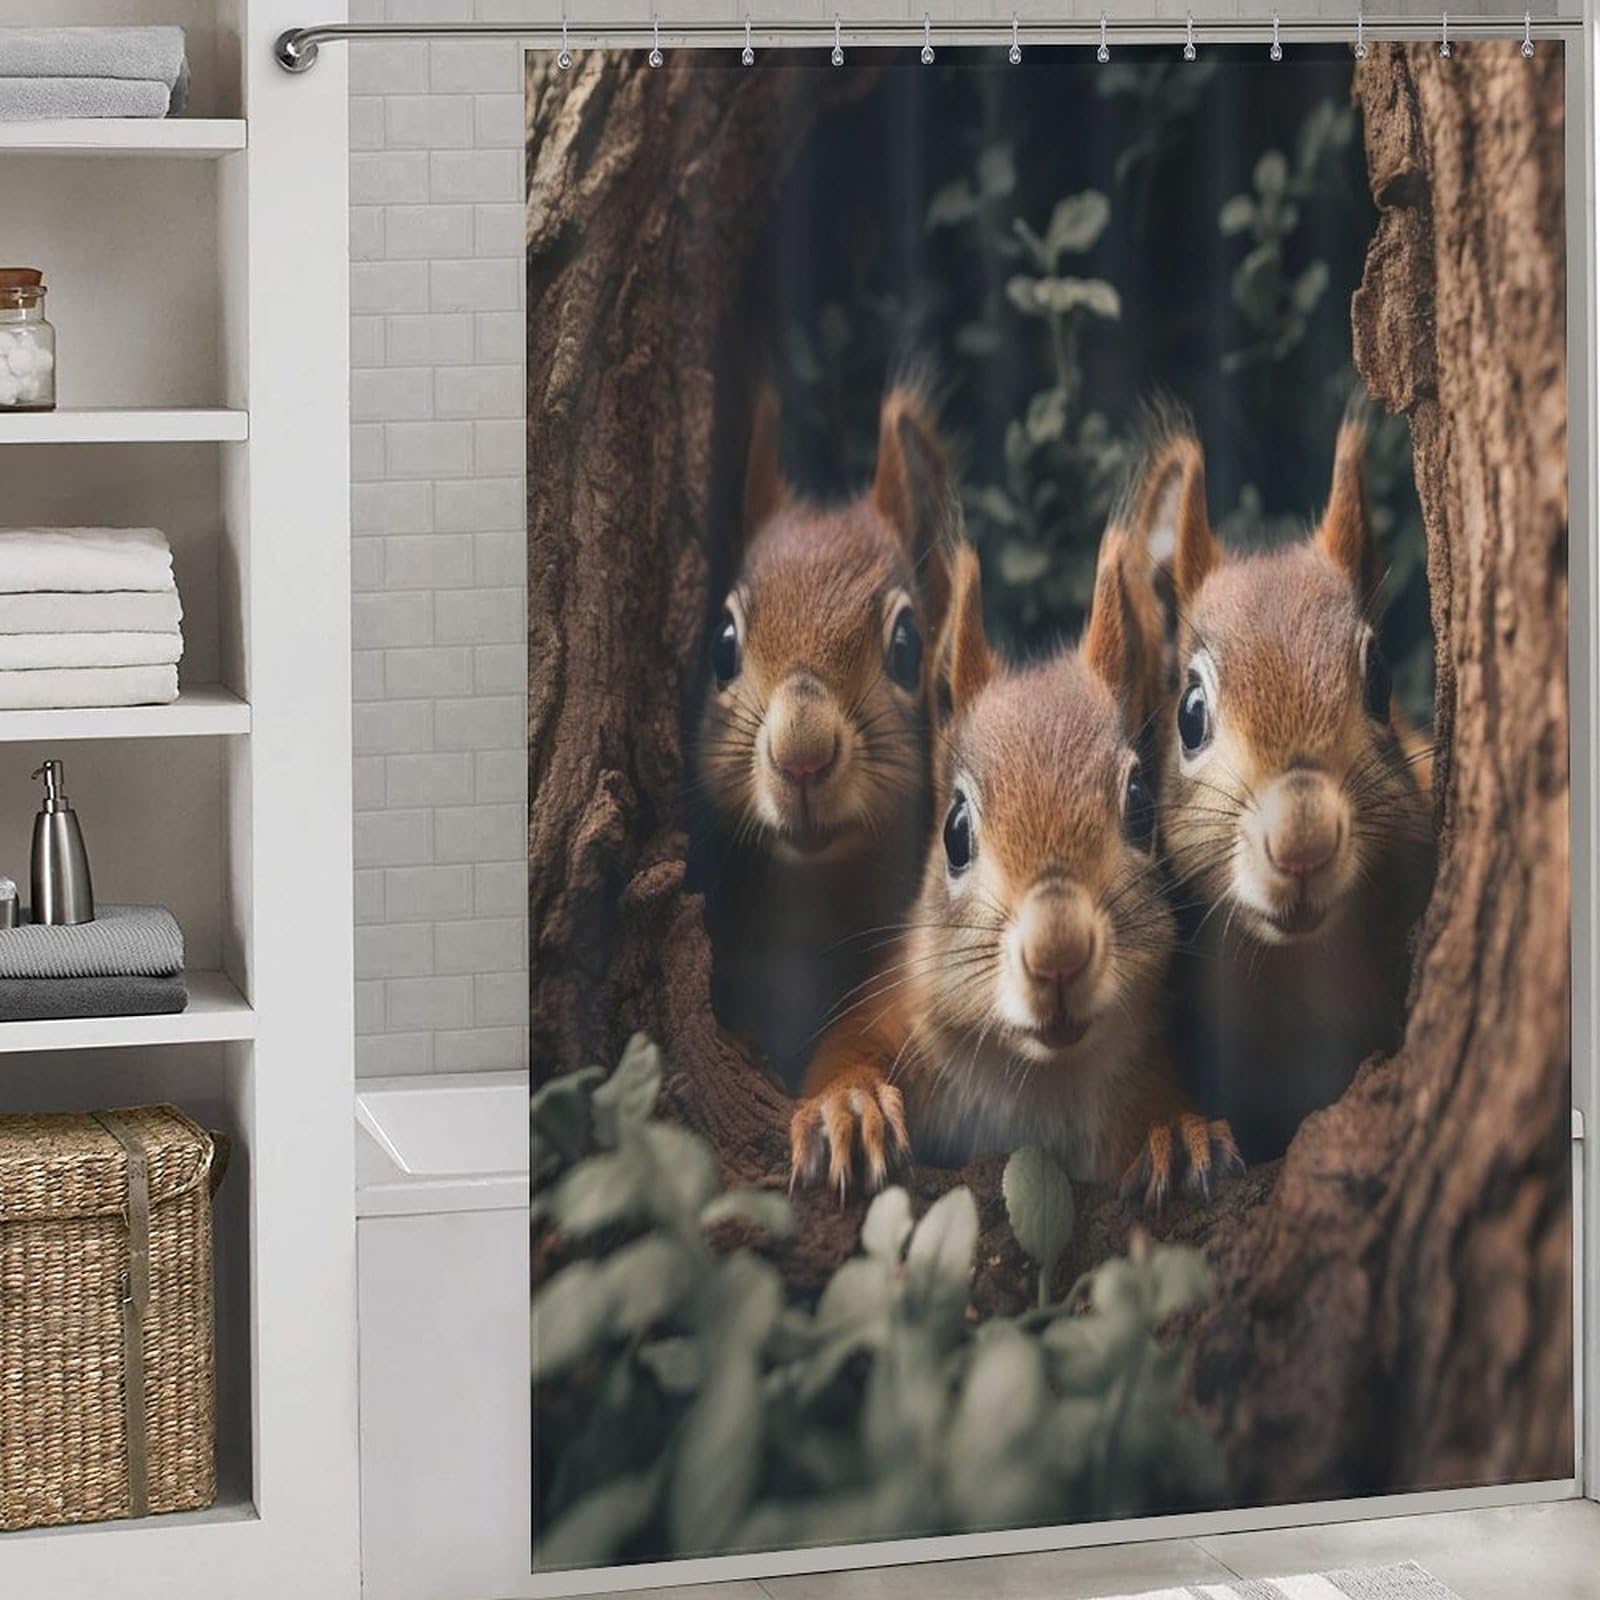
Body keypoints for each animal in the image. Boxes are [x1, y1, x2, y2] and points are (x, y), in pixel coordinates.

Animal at [788, 530, 1241, 1207]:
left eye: (1140, 806)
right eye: (953, 834)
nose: (1058, 954)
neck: (1029, 1074)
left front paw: (1177, 1134)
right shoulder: (891, 1007)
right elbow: (842, 1048)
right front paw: (847, 1105)